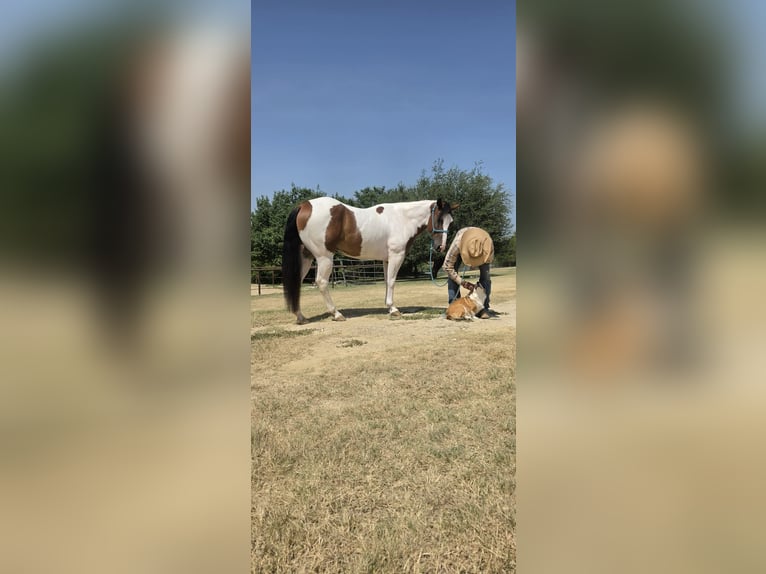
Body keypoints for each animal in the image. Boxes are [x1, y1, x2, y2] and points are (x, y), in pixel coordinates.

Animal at [282, 197, 458, 324]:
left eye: (450, 222)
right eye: (439, 219)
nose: (441, 247)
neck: (401, 219)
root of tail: (304, 205)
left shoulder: (386, 259)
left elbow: (387, 281)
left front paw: (389, 307)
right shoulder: (396, 256)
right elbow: (392, 281)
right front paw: (394, 310)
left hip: (306, 257)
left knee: (297, 282)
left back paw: (301, 317)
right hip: (324, 257)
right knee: (322, 282)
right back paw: (337, 314)